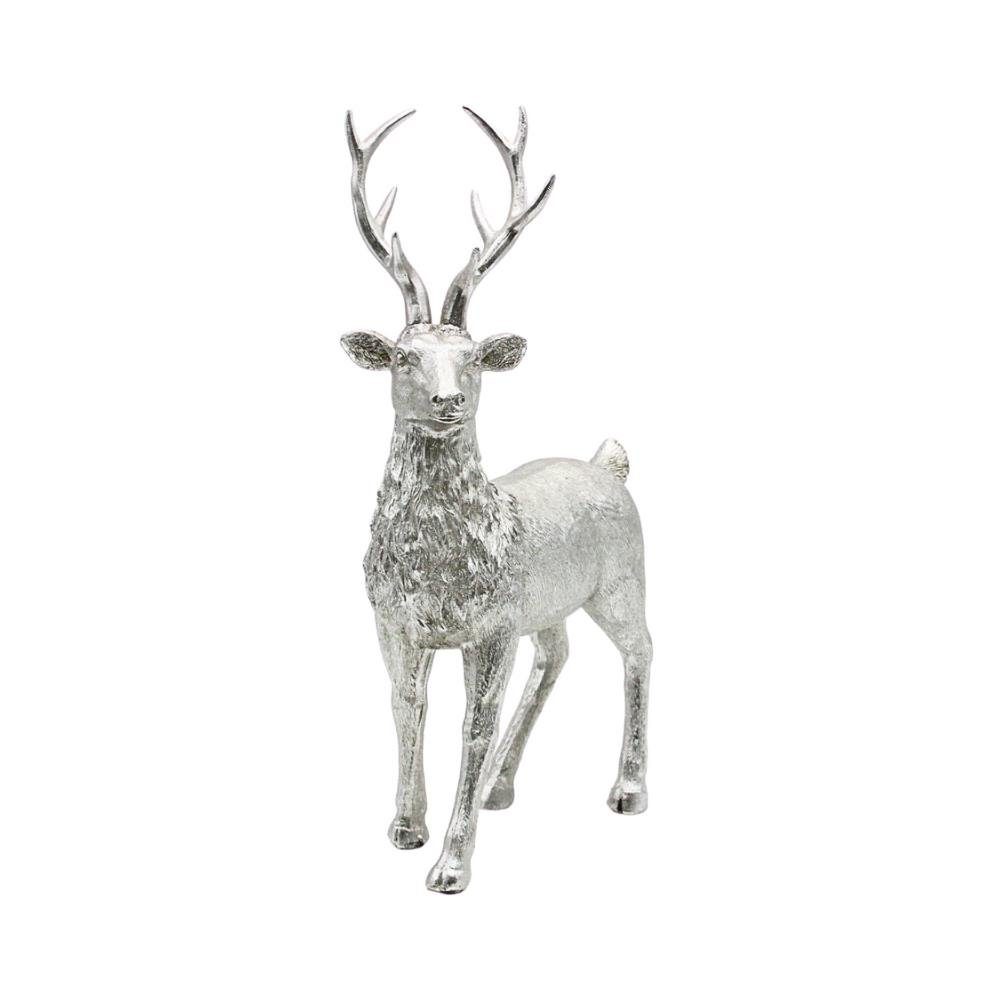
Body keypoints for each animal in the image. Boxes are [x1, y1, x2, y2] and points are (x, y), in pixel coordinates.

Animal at [340, 107, 652, 893]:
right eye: (403, 355)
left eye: (475, 357)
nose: (448, 400)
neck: (439, 564)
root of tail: (609, 466)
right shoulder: (394, 619)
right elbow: (407, 705)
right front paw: (405, 826)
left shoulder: (492, 626)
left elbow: (471, 725)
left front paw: (451, 864)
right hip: (549, 605)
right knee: (557, 654)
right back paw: (500, 787)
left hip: (622, 580)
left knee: (641, 649)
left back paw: (628, 789)